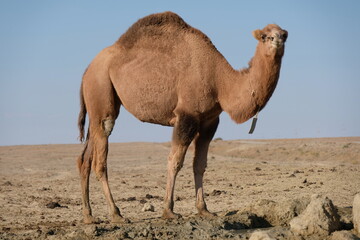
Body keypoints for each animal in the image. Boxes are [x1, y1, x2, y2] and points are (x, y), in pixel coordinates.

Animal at [77, 11, 288, 223]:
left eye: (284, 34)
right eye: (264, 36)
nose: (277, 39)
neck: (220, 81)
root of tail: (87, 70)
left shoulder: (210, 121)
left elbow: (200, 165)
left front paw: (204, 209)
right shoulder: (187, 115)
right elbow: (175, 162)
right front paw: (169, 210)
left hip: (96, 107)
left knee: (84, 158)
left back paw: (88, 216)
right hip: (101, 88)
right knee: (100, 157)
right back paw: (116, 214)